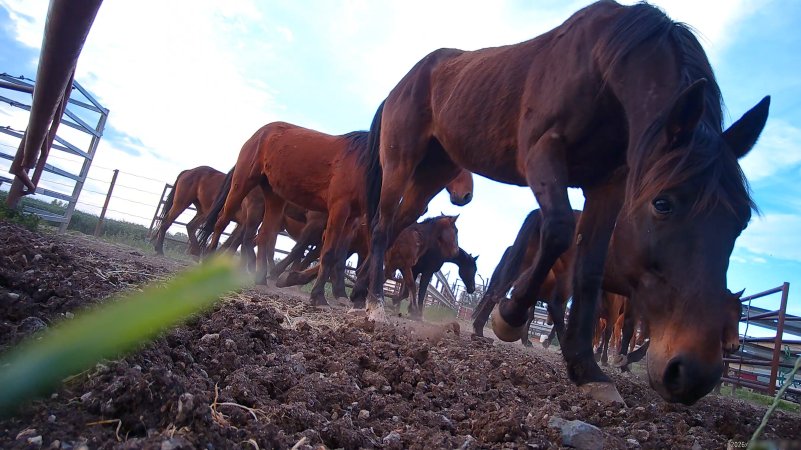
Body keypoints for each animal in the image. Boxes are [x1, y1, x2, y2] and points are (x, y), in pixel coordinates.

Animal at [198, 125, 473, 308]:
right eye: (454, 165)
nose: (467, 195)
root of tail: (260, 134)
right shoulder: (339, 211)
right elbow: (329, 253)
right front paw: (318, 296)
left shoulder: (351, 220)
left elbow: (336, 257)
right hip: (243, 184)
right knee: (222, 222)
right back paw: (207, 259)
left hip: (274, 196)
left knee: (265, 237)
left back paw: (262, 277)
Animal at [354, 1, 768, 405]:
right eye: (662, 203)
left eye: (742, 220)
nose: (693, 373)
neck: (603, 66)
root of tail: (405, 82)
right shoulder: (543, 153)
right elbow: (558, 231)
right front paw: (511, 316)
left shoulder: (608, 185)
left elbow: (589, 269)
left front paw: (588, 371)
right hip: (401, 161)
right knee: (383, 224)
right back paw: (375, 304)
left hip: (432, 173)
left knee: (398, 223)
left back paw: (357, 294)